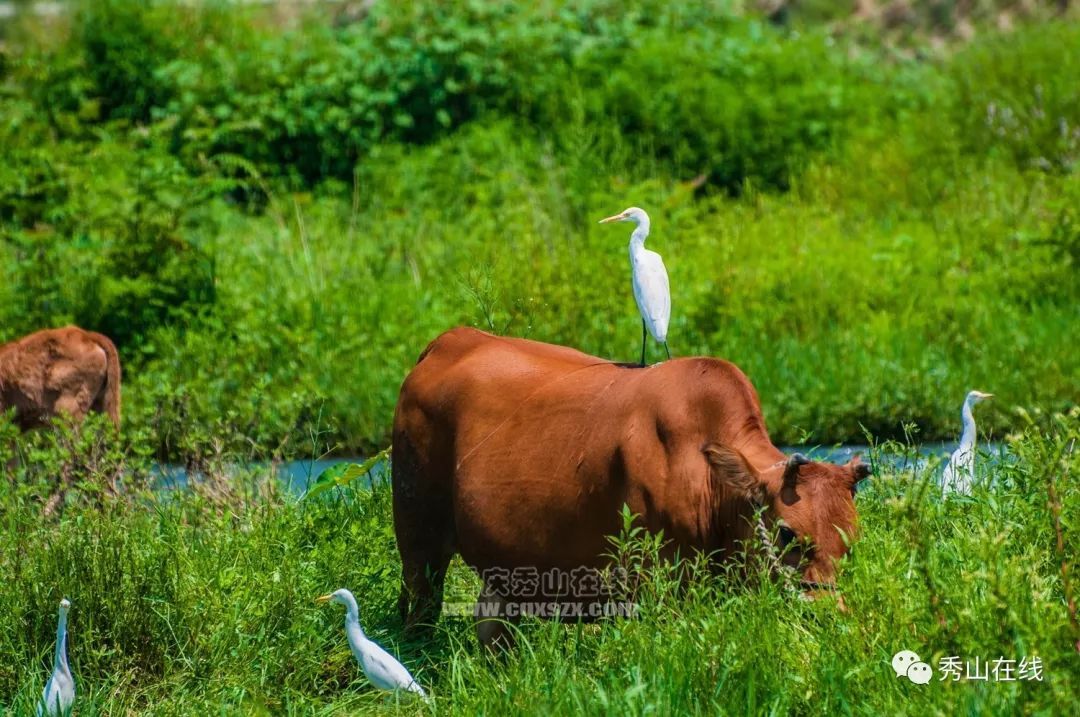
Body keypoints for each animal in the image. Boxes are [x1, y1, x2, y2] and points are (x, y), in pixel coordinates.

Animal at [393, 328, 872, 647]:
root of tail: (454, 338)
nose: (829, 613)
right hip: (417, 534)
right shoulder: (650, 582)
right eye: (786, 532)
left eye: (851, 538)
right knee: (419, 608)